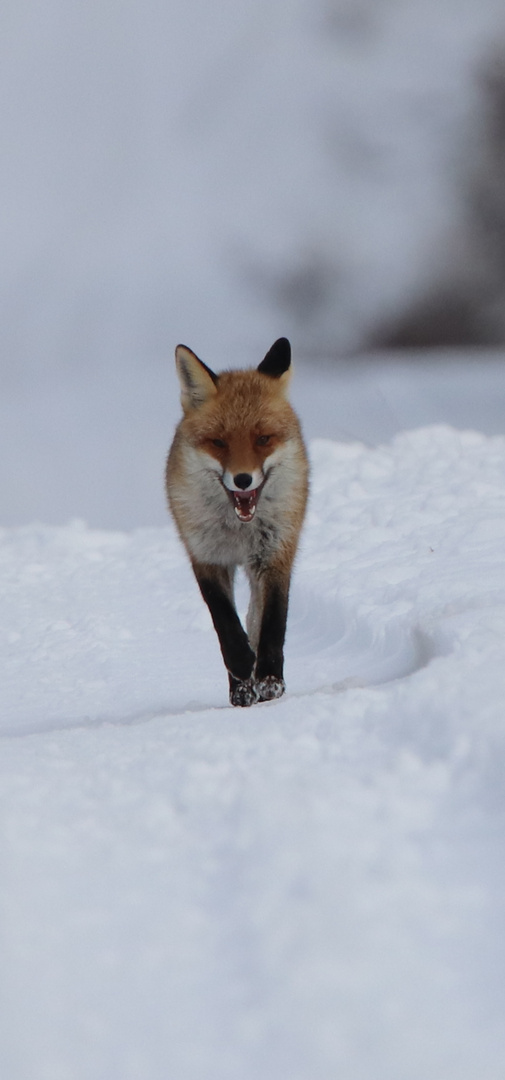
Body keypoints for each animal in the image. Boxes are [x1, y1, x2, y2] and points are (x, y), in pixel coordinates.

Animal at [166, 339, 308, 708]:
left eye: (263, 439)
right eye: (219, 442)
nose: (243, 479)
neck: (240, 530)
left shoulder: (276, 554)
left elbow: (272, 624)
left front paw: (270, 679)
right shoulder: (206, 556)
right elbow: (225, 623)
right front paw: (243, 668)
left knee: (256, 618)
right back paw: (242, 687)